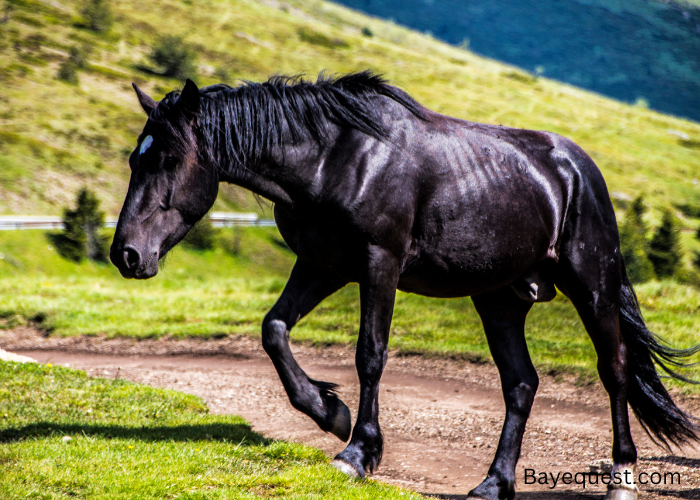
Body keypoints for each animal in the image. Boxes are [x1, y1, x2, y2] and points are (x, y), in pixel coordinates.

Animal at [109, 72, 696, 498]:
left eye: (166, 159)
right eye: (136, 158)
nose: (127, 254)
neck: (335, 158)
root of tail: (579, 171)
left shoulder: (379, 263)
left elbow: (370, 353)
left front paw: (357, 452)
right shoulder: (322, 265)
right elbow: (273, 329)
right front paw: (328, 412)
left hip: (592, 286)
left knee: (614, 370)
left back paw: (622, 479)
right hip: (500, 299)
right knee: (521, 385)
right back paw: (493, 483)